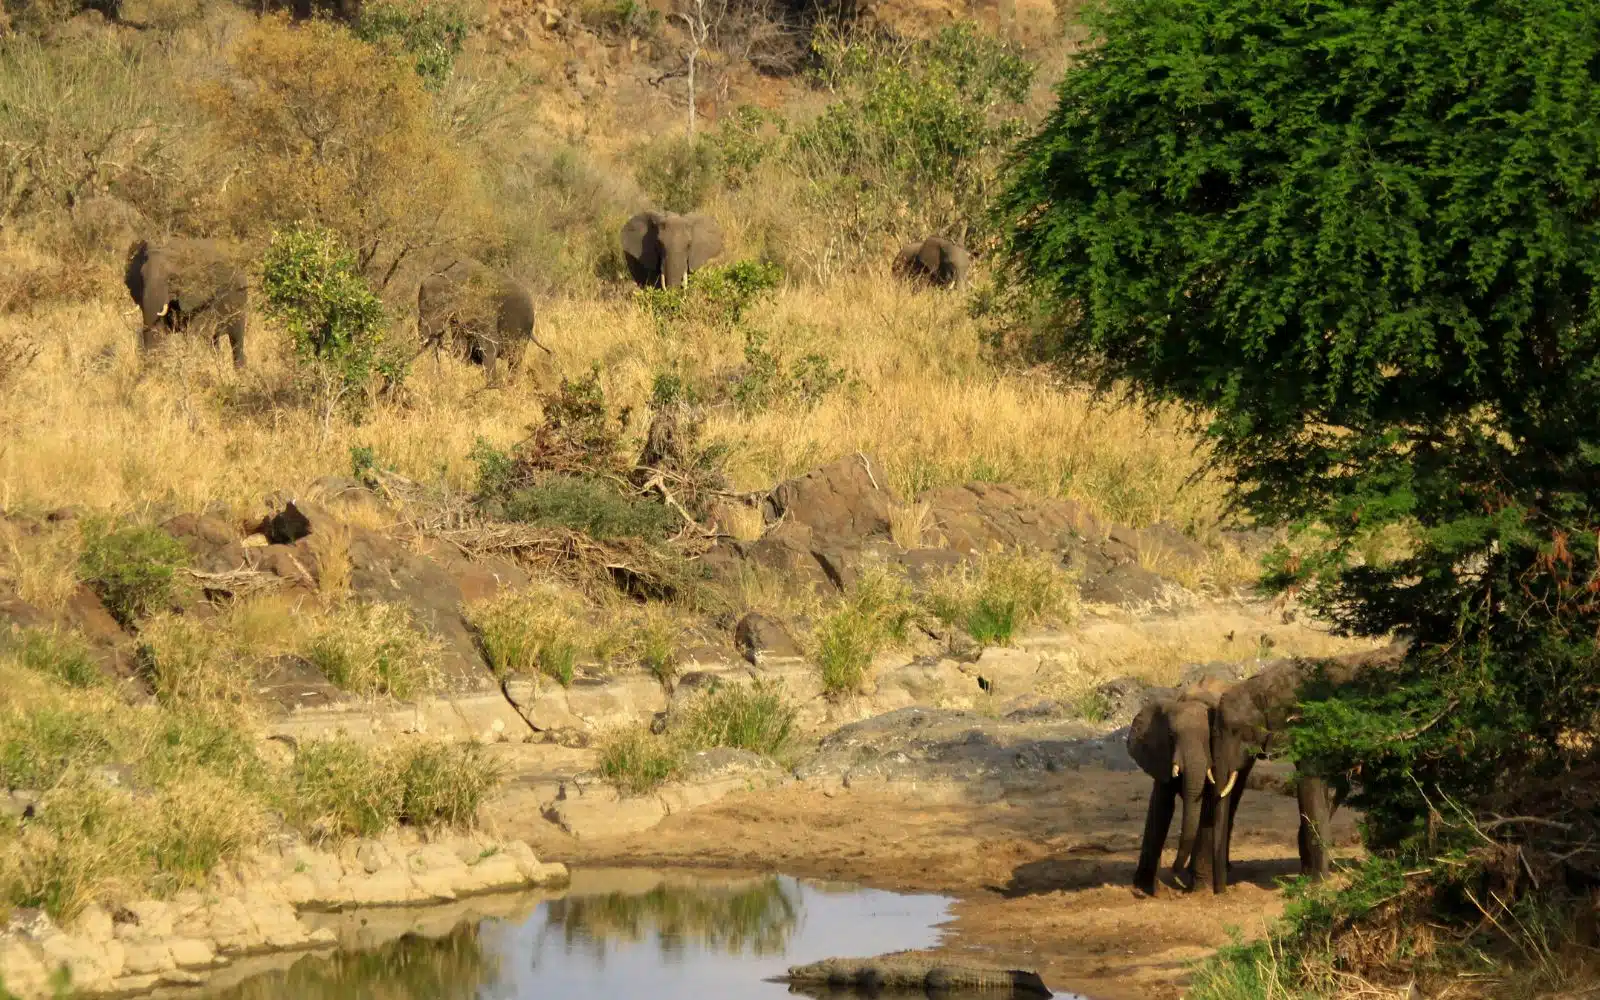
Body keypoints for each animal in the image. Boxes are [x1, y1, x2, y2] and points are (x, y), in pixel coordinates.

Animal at [417, 261, 551, 385]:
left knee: (515, 359)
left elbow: (490, 346)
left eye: (433, 306)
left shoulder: (485, 309)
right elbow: (460, 345)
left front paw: (491, 386)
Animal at [1128, 676, 1229, 895]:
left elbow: (1208, 806)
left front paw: (1200, 889)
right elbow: (1162, 806)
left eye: (1210, 737)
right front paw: (1145, 888)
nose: (1174, 869)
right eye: (1172, 737)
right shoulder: (1161, 757)